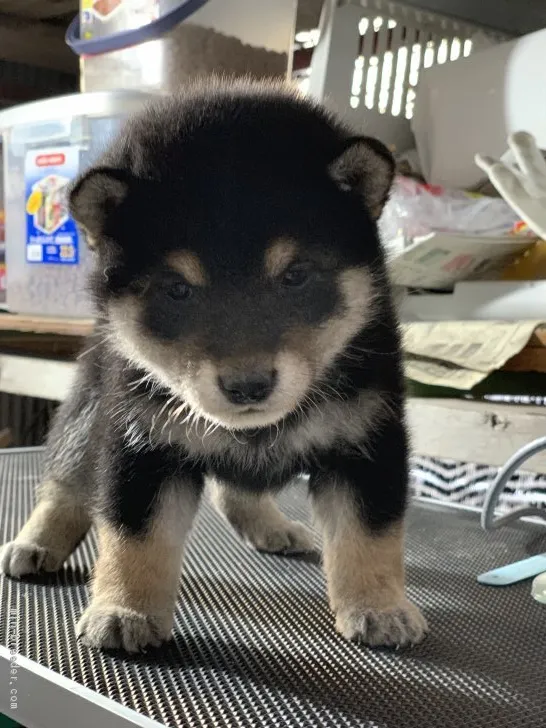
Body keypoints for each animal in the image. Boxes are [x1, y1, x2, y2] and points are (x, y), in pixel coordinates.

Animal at [0, 81, 424, 656]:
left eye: (296, 275)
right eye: (178, 290)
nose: (248, 385)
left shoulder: (369, 442)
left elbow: (370, 535)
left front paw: (379, 606)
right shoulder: (140, 443)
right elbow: (135, 535)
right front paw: (125, 609)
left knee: (235, 488)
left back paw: (271, 526)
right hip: (88, 407)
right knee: (64, 481)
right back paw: (36, 541)